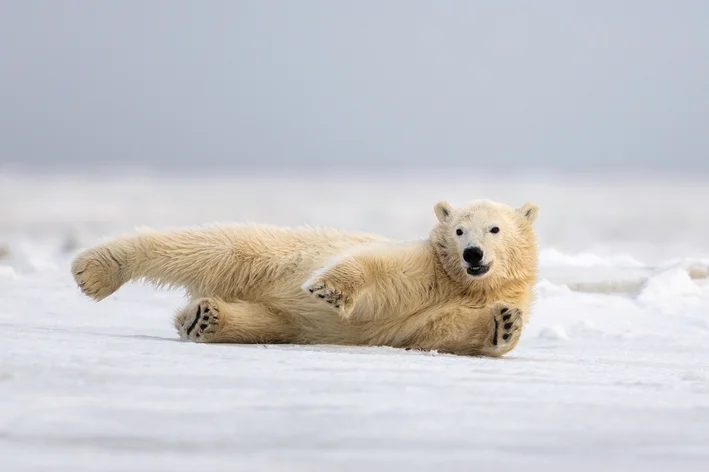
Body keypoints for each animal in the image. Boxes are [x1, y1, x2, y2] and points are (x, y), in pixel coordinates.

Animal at [70, 199, 536, 358]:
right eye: (458, 229)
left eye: (494, 229)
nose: (473, 253)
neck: (460, 281)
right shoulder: (424, 264)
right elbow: (377, 265)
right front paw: (328, 289)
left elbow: (441, 330)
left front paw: (504, 323)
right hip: (271, 257)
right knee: (211, 247)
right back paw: (93, 270)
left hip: (282, 317)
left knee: (262, 321)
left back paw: (202, 318)